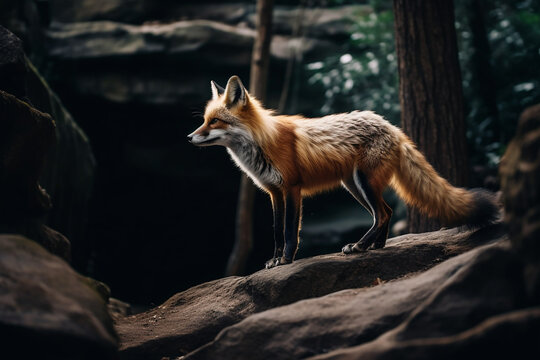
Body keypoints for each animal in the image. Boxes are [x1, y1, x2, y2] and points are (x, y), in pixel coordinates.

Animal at [188, 75, 500, 268]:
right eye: (204, 120)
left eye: (215, 122)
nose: (189, 137)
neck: (263, 142)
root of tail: (393, 127)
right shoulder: (274, 192)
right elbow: (276, 231)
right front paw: (274, 260)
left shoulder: (292, 189)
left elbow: (289, 231)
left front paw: (286, 260)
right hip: (355, 187)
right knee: (385, 212)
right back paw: (376, 246)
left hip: (364, 182)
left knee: (382, 213)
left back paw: (360, 246)